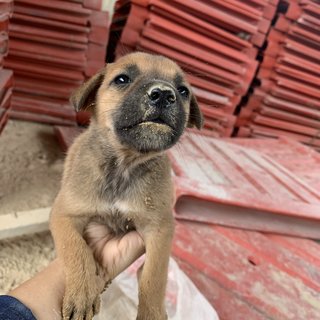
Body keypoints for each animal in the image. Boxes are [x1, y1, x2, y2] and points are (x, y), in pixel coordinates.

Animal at [50, 51, 202, 318]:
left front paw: (152, 314)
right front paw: (81, 294)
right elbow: (76, 250)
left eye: (183, 91)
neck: (124, 166)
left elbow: (154, 276)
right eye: (122, 79)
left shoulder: (160, 228)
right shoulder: (64, 214)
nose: (164, 93)